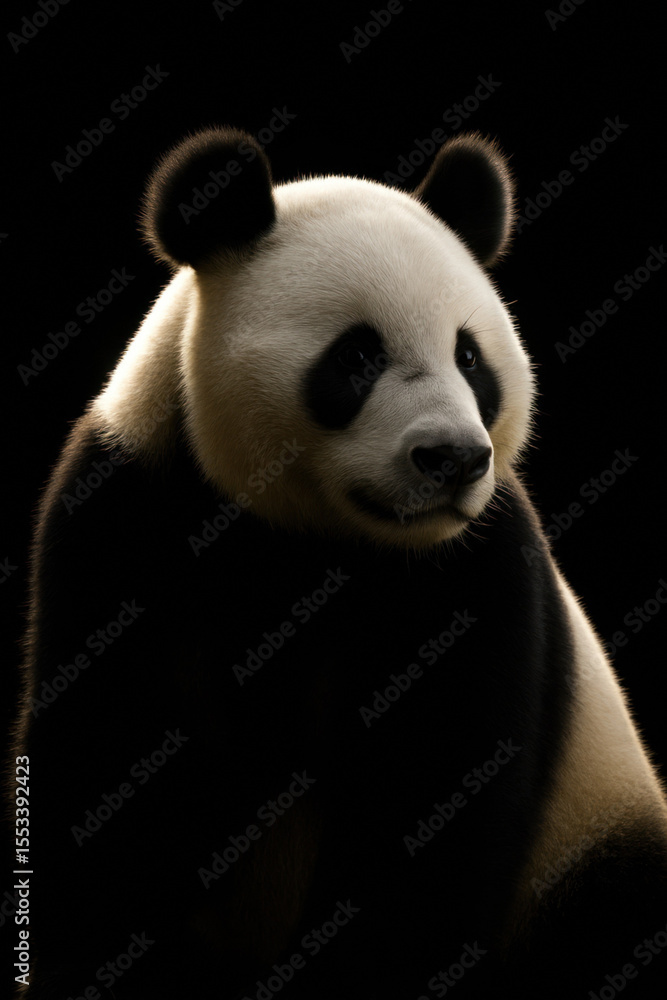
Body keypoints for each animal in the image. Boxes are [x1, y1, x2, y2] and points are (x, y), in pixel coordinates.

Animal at [12, 126, 667, 999]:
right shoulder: (130, 514)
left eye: (469, 358)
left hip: (592, 833)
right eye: (356, 357)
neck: (307, 539)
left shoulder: (475, 571)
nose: (452, 459)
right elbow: (105, 764)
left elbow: (426, 815)